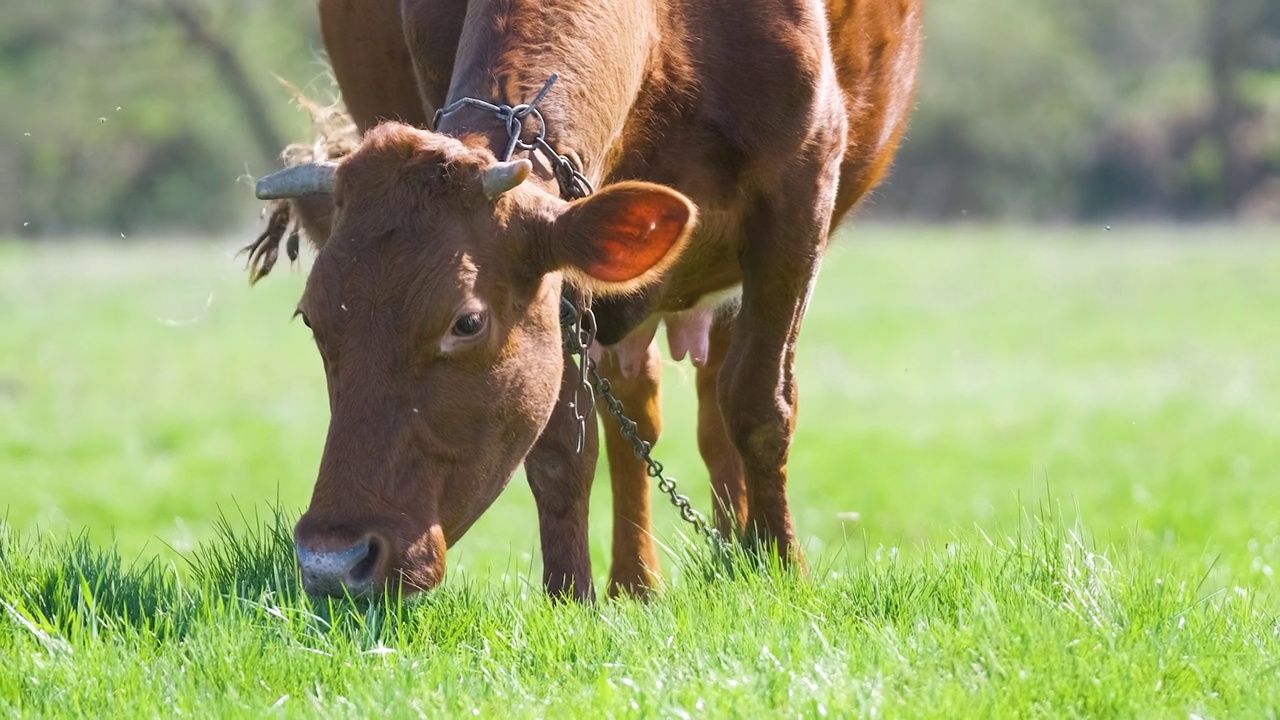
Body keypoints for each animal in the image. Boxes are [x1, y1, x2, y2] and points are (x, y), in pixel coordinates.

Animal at [247, 0, 921, 599]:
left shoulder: (801, 187)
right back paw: (639, 583)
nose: (331, 561)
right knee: (637, 413)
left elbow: (760, 406)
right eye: (311, 320)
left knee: (717, 402)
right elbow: (561, 448)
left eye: (466, 322)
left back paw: (741, 553)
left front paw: (783, 569)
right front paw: (570, 597)